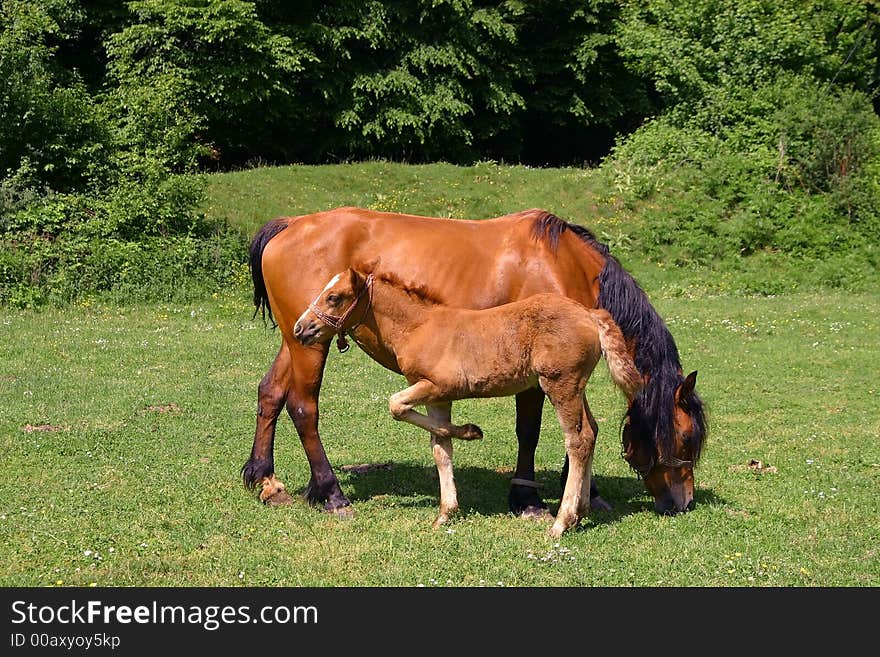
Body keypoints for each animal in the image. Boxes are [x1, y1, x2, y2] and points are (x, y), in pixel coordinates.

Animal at [242, 208, 708, 516]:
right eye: (686, 439)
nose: (683, 504)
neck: (562, 264)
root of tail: (289, 225)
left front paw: (582, 494)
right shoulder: (534, 376)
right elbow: (530, 431)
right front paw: (528, 497)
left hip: (299, 336)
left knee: (271, 393)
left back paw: (265, 478)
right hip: (309, 345)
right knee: (304, 407)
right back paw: (331, 492)